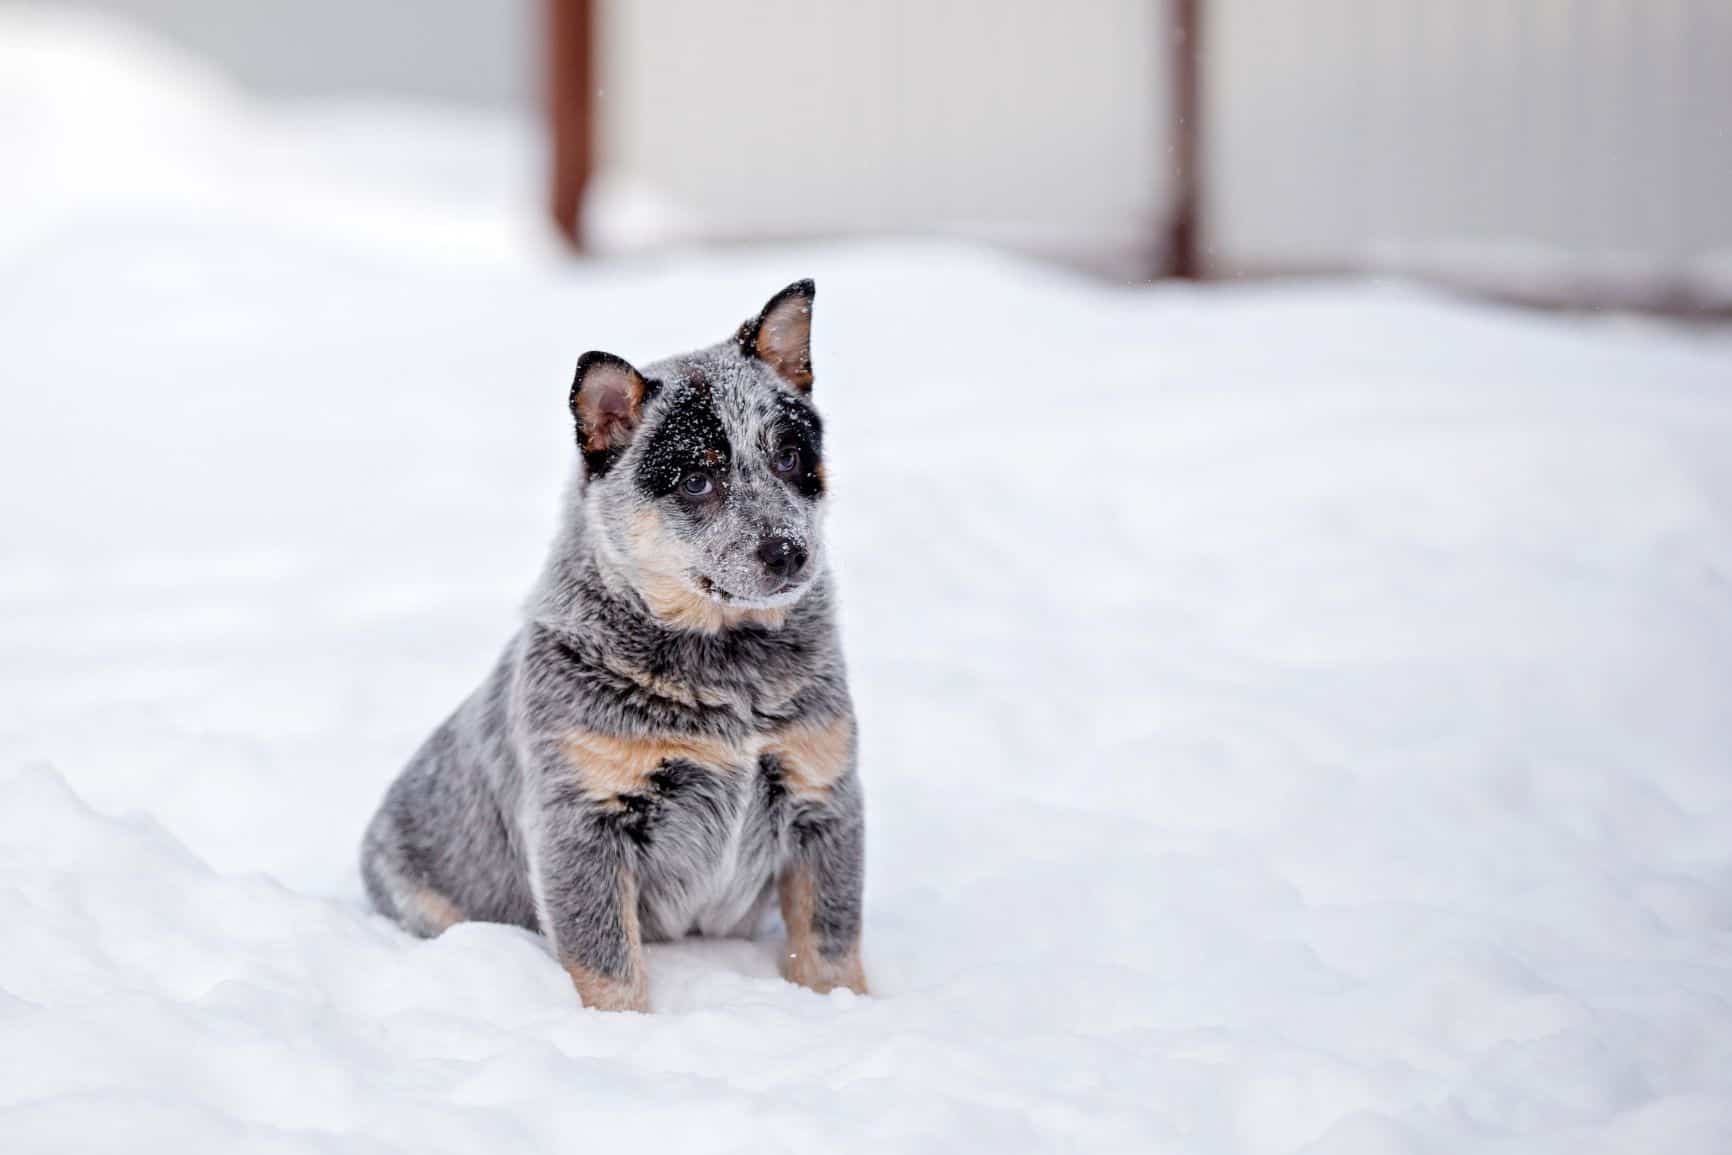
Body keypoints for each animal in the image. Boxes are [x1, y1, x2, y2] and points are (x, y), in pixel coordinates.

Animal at [360, 280, 866, 1011]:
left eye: (790, 456)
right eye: (697, 480)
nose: (788, 551)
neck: (727, 668)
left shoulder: (822, 794)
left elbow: (830, 945)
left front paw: (846, 1007)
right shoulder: (583, 817)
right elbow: (607, 964)